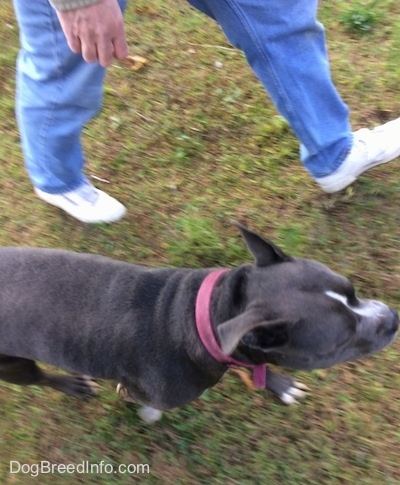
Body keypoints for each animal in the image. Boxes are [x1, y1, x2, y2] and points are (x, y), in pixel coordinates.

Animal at [0, 223, 396, 420]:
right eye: (342, 341)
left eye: (353, 290)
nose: (392, 317)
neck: (208, 313)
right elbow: (145, 401)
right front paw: (146, 412)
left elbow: (256, 369)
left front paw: (281, 385)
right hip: (13, 364)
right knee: (38, 377)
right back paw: (72, 385)